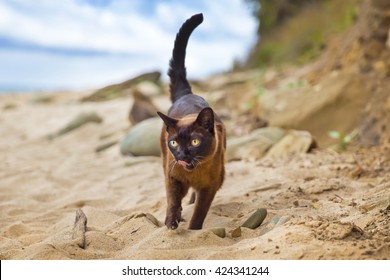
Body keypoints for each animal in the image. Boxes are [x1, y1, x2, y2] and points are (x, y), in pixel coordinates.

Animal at [158, 13, 227, 230]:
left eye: (194, 142)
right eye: (174, 143)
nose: (182, 153)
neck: (193, 173)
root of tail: (186, 94)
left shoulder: (209, 188)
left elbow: (199, 214)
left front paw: (192, 231)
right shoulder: (172, 177)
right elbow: (172, 201)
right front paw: (171, 222)